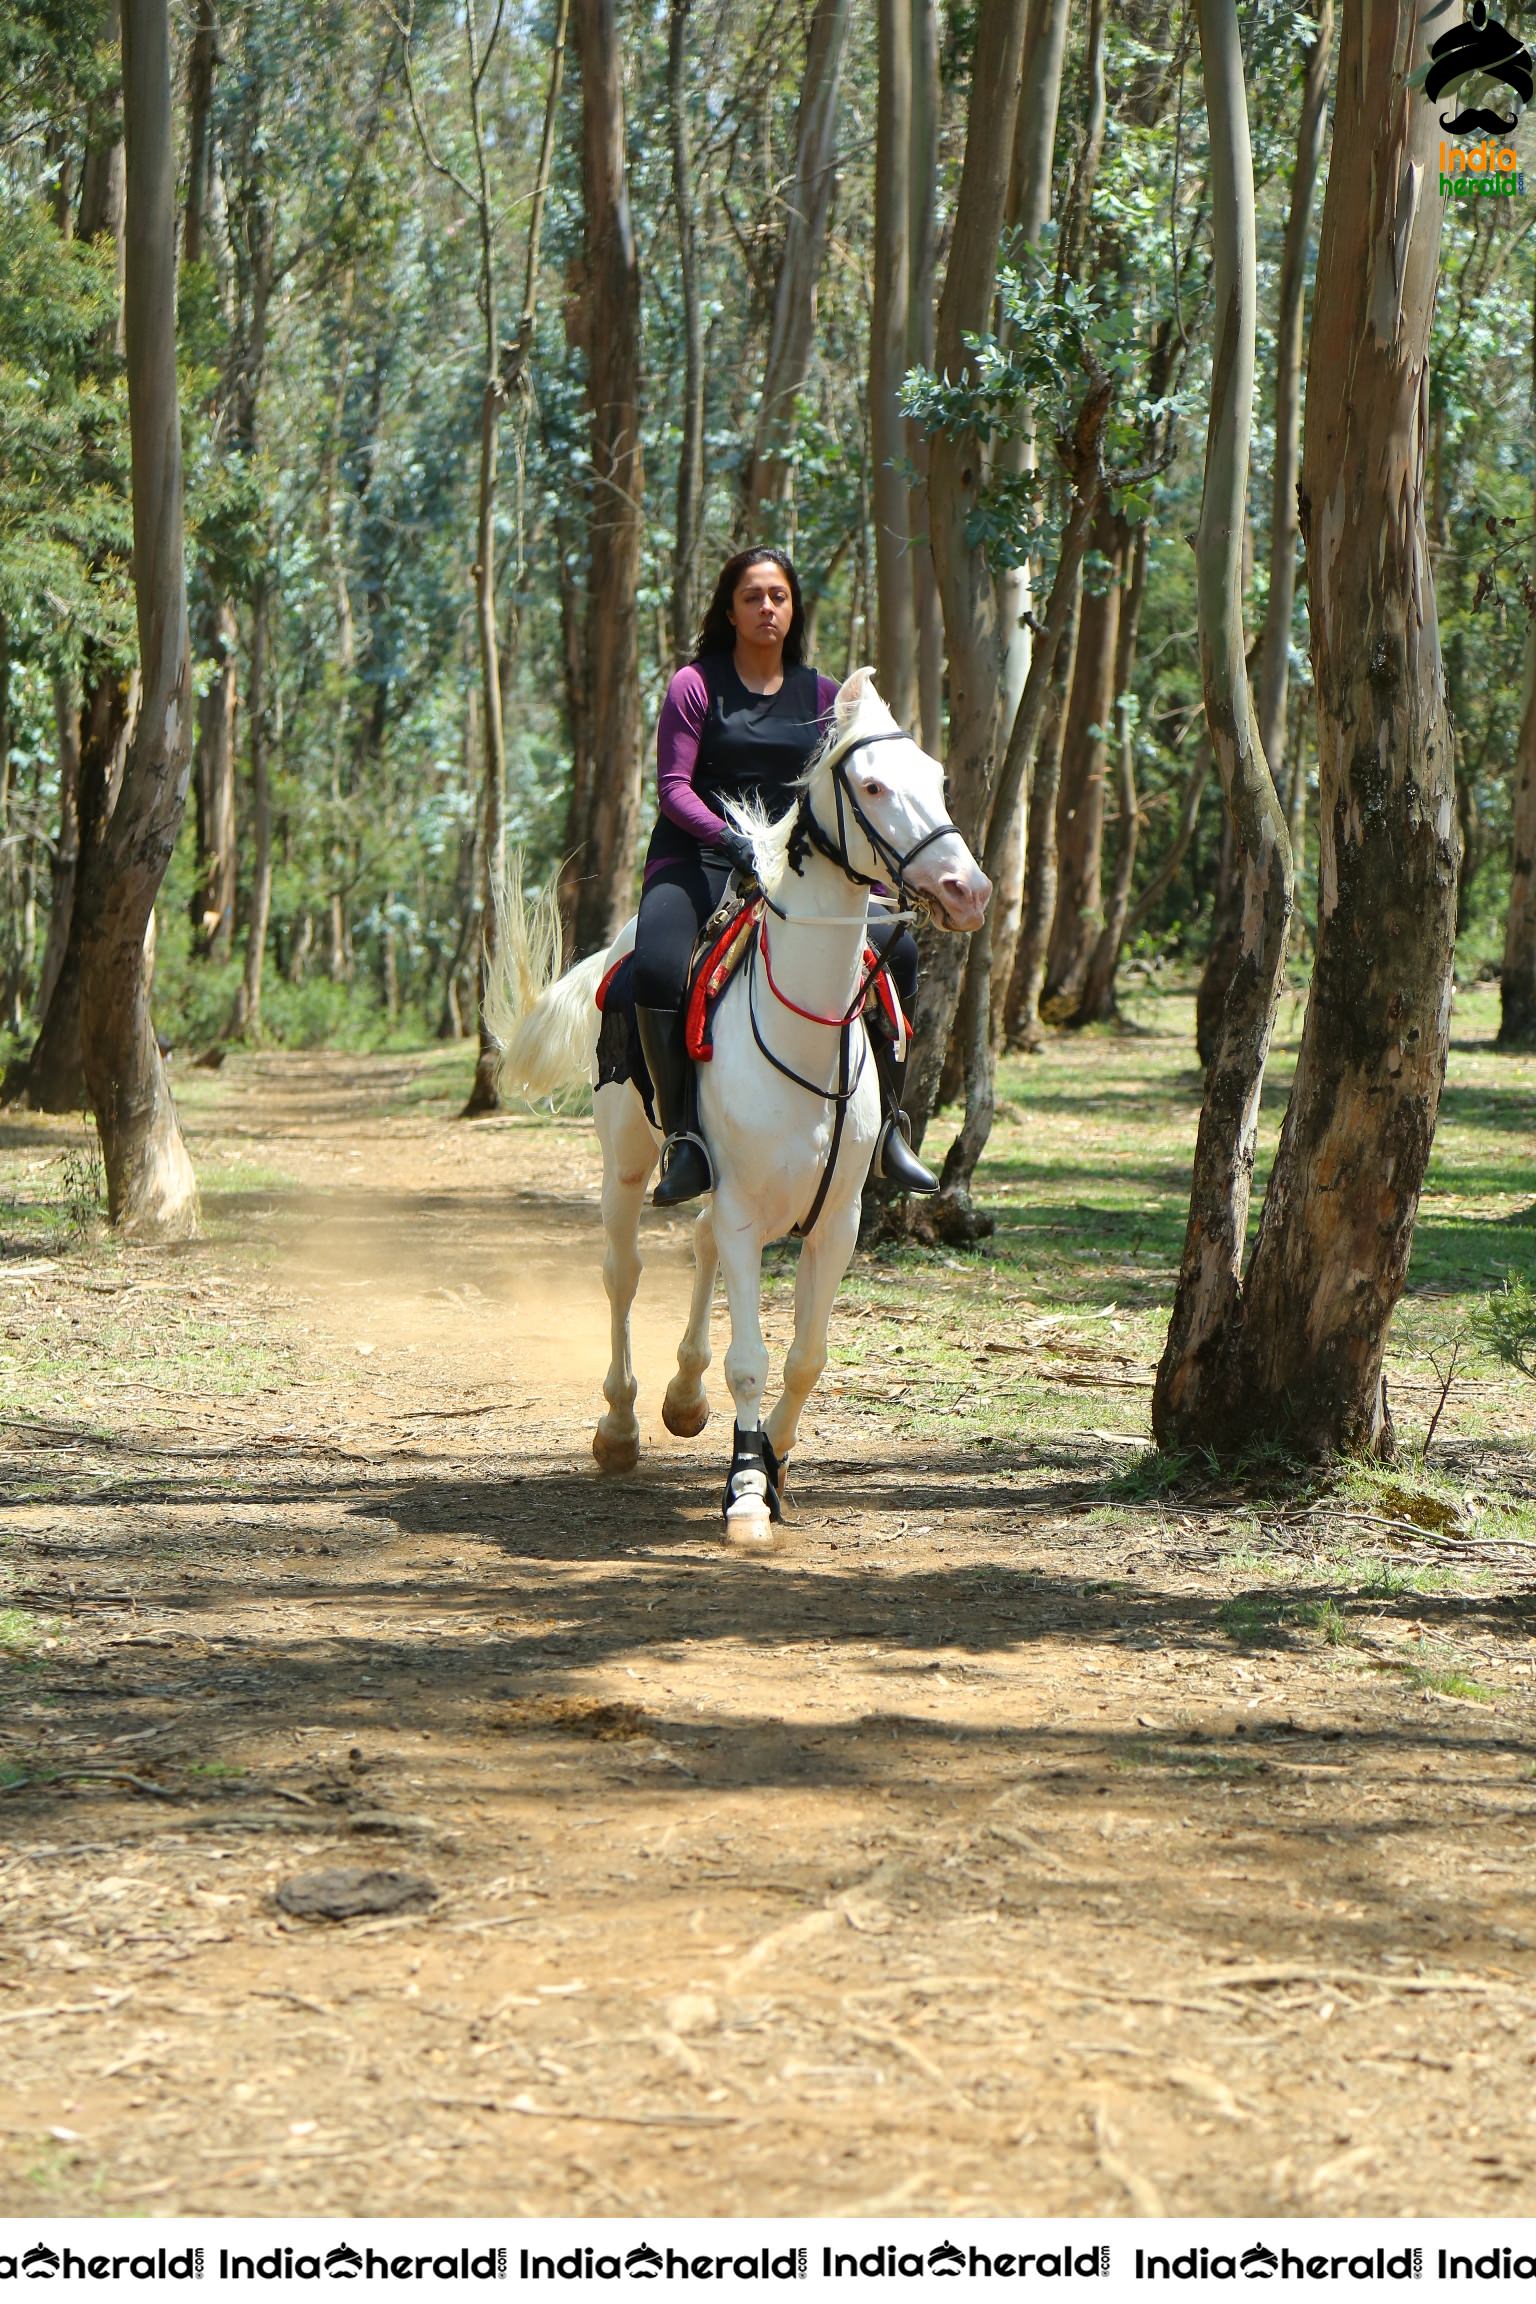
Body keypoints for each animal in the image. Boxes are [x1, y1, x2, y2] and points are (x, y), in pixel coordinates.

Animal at [492, 672, 999, 1557]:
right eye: (872, 787)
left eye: (937, 781)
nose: (967, 891)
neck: (806, 1028)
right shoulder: (739, 1211)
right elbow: (752, 1361)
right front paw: (748, 1494)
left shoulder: (838, 1220)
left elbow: (806, 1357)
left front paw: (776, 1462)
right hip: (627, 1163)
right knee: (623, 1273)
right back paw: (620, 1426)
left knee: (692, 1252)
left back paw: (683, 1398)